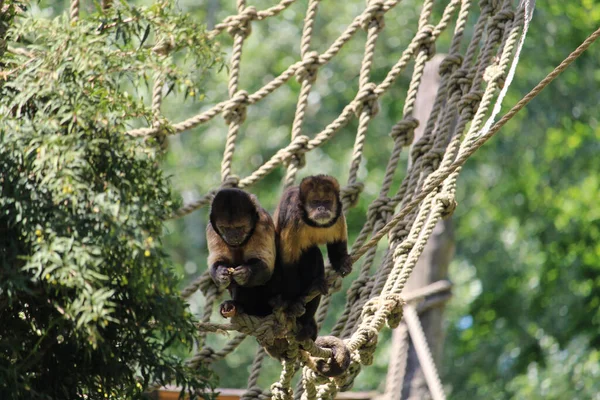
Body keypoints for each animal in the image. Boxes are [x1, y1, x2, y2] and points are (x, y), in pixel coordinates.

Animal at [206, 188, 276, 318]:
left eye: (239, 227)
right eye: (225, 228)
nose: (233, 236)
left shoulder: (263, 222)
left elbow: (266, 264)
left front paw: (245, 273)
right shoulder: (211, 229)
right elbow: (217, 259)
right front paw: (220, 273)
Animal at [274, 175, 354, 340]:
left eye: (327, 202)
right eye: (315, 202)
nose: (321, 208)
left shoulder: (338, 215)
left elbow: (336, 246)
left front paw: (343, 263)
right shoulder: (294, 217)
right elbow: (288, 263)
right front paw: (294, 302)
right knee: (309, 252)